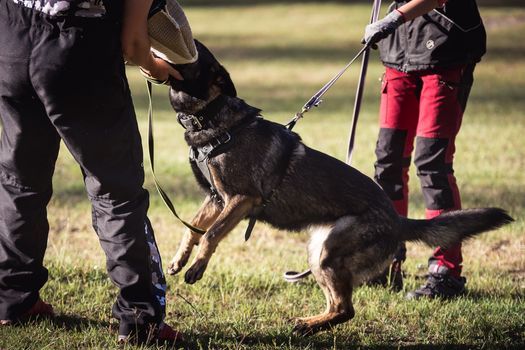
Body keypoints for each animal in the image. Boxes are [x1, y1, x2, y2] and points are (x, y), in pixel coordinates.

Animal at [167, 40, 512, 334]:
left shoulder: (241, 199)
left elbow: (210, 234)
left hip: (329, 254)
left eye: (197, 54)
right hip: (319, 253)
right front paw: (179, 260)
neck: (214, 119)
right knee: (339, 306)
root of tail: (397, 219)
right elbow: (191, 229)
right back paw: (310, 324)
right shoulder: (216, 199)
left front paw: (197, 268)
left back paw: (307, 326)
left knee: (347, 309)